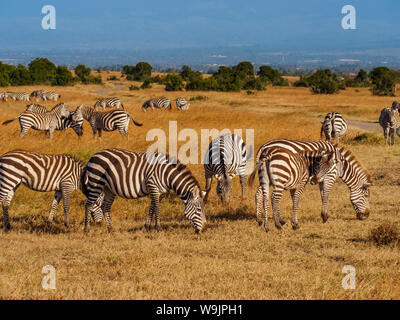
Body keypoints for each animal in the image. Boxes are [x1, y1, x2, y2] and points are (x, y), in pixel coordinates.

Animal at [80, 149, 208, 234]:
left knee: (105, 207)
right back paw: (86, 229)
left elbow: (152, 208)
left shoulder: (159, 193)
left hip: (108, 188)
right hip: (96, 182)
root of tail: (94, 155)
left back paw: (111, 229)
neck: (167, 176)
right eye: (199, 209)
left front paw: (147, 226)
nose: (205, 228)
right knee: (88, 204)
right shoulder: (153, 187)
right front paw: (158, 228)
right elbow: (157, 208)